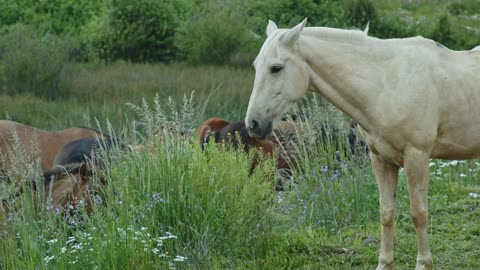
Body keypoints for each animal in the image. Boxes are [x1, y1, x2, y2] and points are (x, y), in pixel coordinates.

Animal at [246, 17, 478, 268]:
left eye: (276, 68)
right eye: (256, 66)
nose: (253, 124)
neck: (388, 83)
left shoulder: (417, 156)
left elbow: (419, 214)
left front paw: (423, 264)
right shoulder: (381, 158)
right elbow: (386, 213)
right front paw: (384, 263)